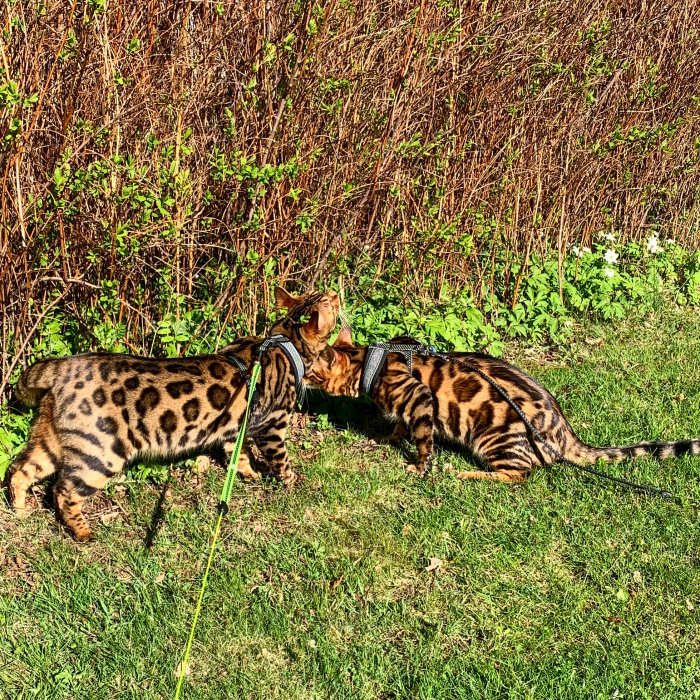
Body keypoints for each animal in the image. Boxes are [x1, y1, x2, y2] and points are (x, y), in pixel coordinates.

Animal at [6, 288, 340, 540]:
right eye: (330, 301)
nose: (337, 292)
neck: (284, 343)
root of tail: (63, 367)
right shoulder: (272, 426)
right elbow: (281, 462)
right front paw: (291, 484)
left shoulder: (239, 426)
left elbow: (238, 451)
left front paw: (248, 473)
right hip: (100, 453)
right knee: (62, 490)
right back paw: (82, 532)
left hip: (52, 439)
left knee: (20, 469)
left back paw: (20, 511)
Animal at [308, 328, 700, 482]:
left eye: (310, 367)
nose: (300, 377)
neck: (371, 363)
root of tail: (565, 432)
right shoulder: (411, 407)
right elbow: (402, 425)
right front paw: (388, 438)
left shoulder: (419, 397)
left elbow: (422, 440)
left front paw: (419, 467)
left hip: (494, 438)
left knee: (516, 476)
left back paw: (467, 474)